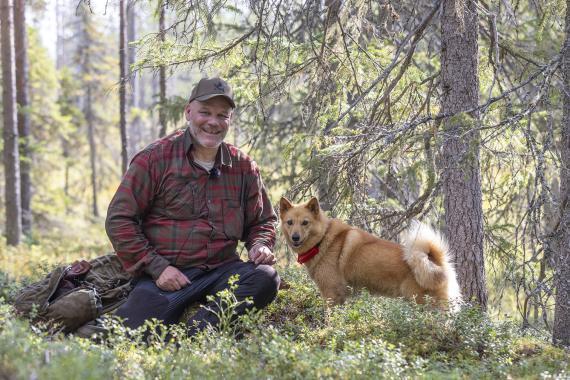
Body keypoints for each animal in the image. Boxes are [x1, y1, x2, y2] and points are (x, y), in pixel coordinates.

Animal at [278, 196, 460, 306]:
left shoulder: (332, 295)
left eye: (305, 222)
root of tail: (435, 261)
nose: (295, 237)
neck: (322, 239)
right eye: (290, 222)